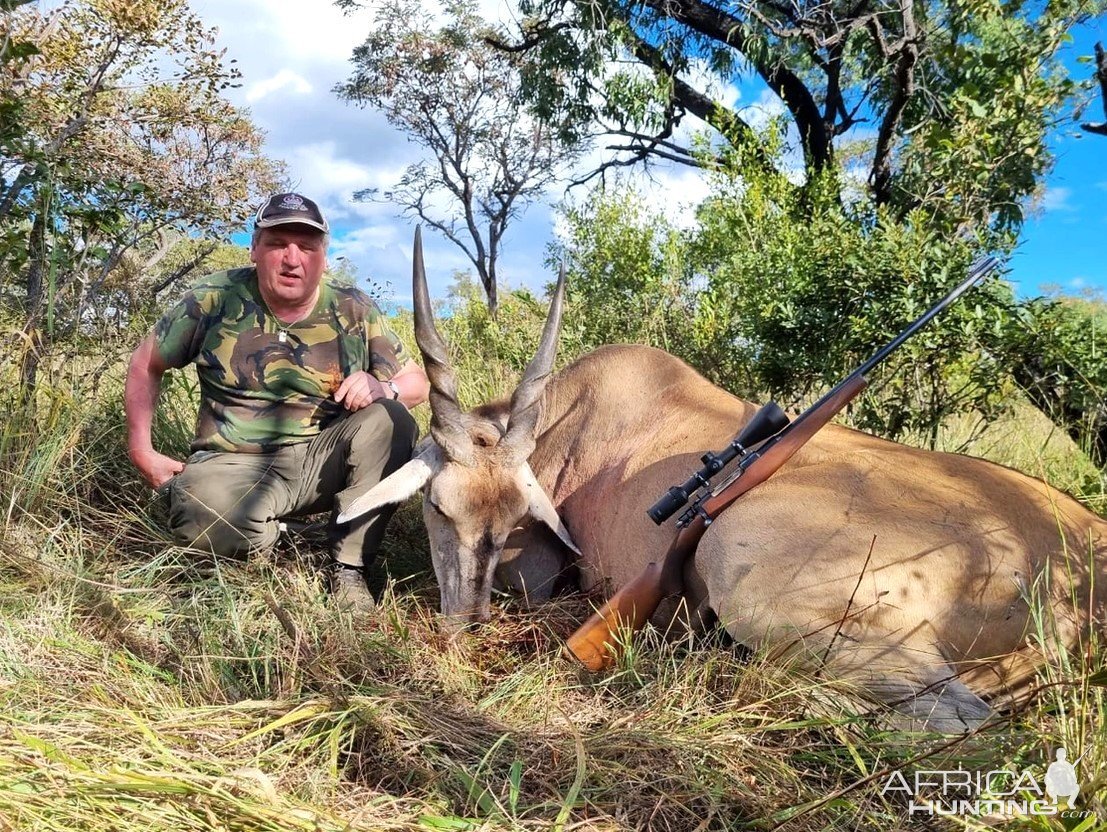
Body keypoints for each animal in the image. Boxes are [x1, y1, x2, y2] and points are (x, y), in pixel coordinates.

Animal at [340, 232, 1102, 725]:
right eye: (440, 510)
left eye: (501, 524)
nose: (462, 632)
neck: (574, 420)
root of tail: (1080, 566)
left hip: (756, 584)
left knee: (964, 721)